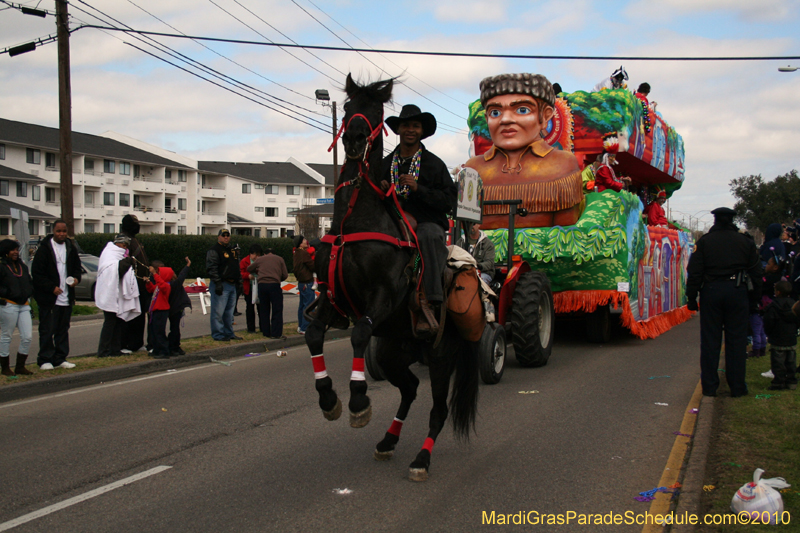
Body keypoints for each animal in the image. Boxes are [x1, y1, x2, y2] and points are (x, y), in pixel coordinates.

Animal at [304, 75, 482, 482]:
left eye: (375, 111)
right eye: (348, 104)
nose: (354, 139)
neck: (356, 221)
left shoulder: (383, 297)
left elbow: (357, 334)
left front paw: (357, 401)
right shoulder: (330, 299)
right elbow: (313, 334)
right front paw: (328, 397)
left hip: (439, 356)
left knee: (437, 409)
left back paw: (421, 459)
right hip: (393, 353)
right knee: (410, 388)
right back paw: (388, 440)